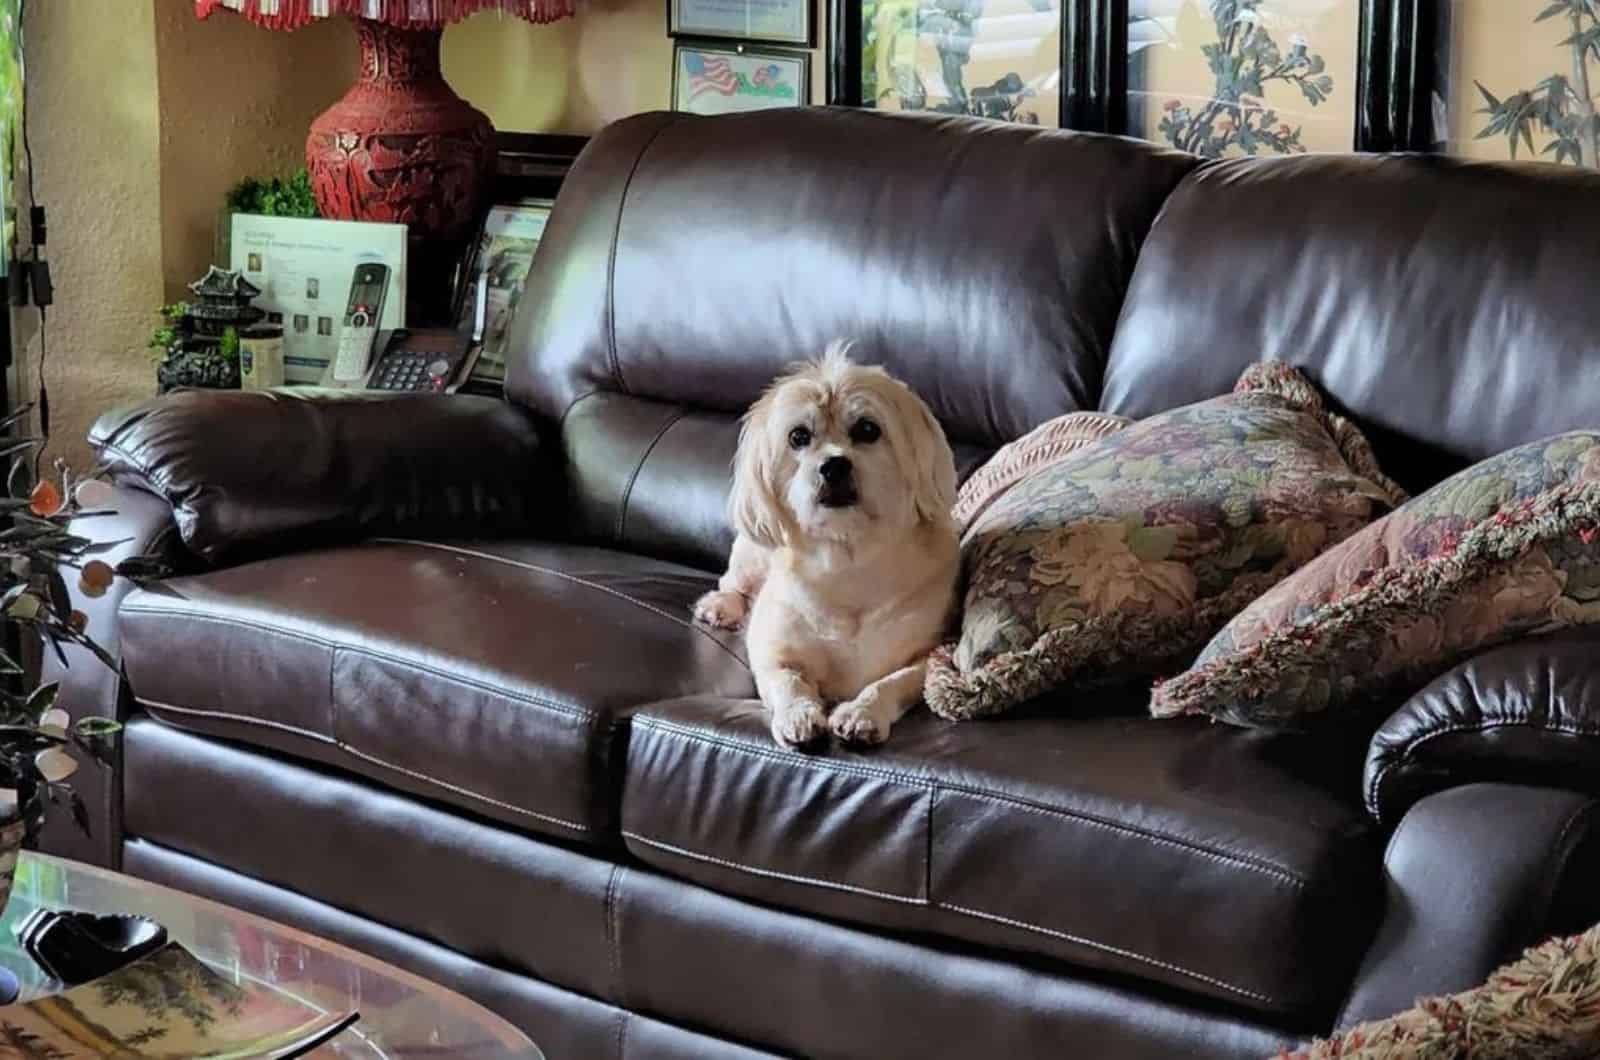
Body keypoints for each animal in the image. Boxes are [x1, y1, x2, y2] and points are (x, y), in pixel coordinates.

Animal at [691, 344, 960, 752]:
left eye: (867, 429)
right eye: (798, 436)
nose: (834, 466)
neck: (848, 563)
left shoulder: (928, 655)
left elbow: (890, 683)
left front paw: (861, 714)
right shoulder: (770, 649)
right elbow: (788, 680)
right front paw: (799, 716)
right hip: (751, 554)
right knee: (733, 583)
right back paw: (720, 607)